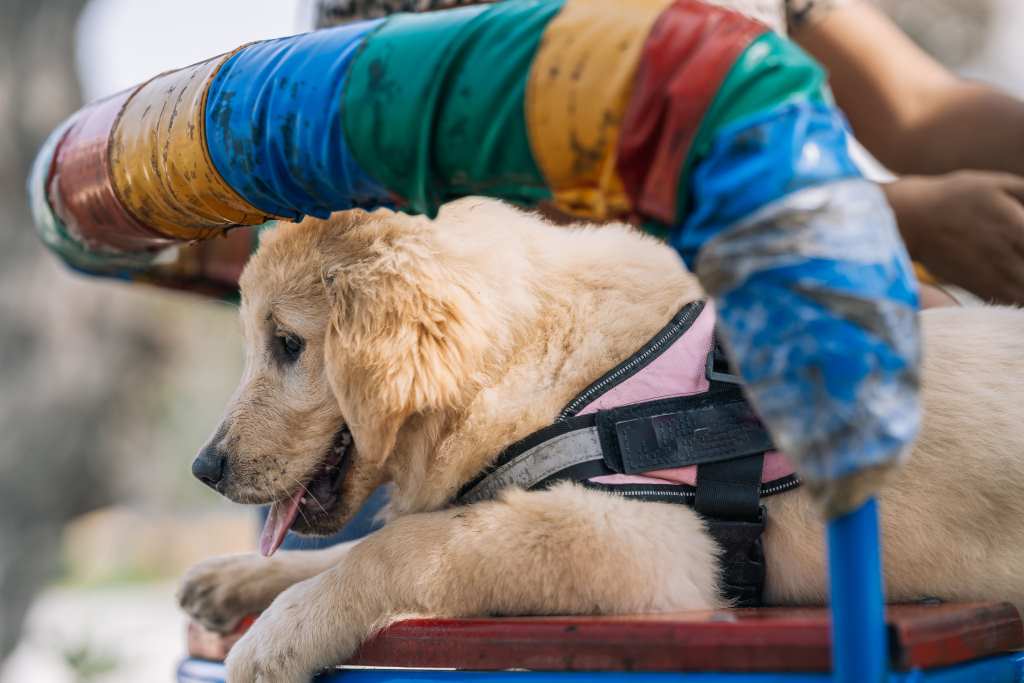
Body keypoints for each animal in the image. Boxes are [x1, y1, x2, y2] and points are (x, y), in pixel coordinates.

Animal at [180, 194, 1024, 679]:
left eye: (288, 344)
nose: (204, 467)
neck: (532, 355)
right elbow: (353, 545)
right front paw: (236, 579)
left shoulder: (650, 542)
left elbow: (405, 544)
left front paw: (279, 636)